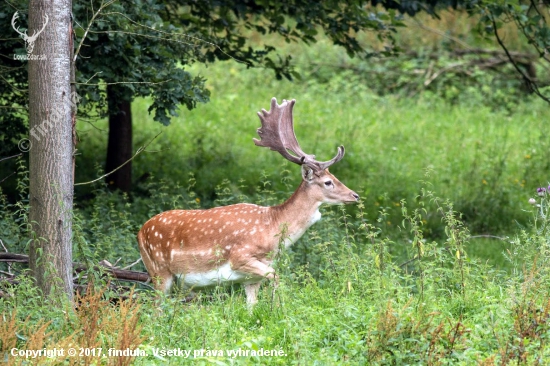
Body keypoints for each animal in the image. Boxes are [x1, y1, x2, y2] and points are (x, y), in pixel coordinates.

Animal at [140, 98, 360, 306]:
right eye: (328, 182)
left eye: (334, 176)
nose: (355, 195)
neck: (272, 229)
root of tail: (141, 231)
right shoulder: (240, 257)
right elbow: (277, 279)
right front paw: (278, 309)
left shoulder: (250, 278)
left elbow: (252, 307)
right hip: (159, 270)